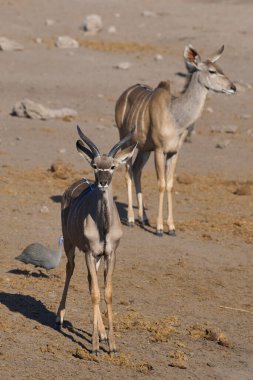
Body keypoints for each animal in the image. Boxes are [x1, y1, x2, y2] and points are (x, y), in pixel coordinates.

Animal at [56, 126, 136, 354]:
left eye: (112, 166)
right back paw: (60, 317)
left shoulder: (110, 254)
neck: (104, 227)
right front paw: (93, 346)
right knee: (70, 269)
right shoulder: (89, 252)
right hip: (70, 245)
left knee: (91, 281)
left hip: (96, 257)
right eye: (95, 166)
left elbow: (106, 292)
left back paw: (101, 334)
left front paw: (112, 344)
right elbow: (95, 293)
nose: (102, 182)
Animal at [115, 43, 236, 235]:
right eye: (212, 71)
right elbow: (161, 184)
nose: (233, 87)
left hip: (144, 149)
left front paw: (171, 227)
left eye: (221, 68)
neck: (175, 116)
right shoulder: (159, 150)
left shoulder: (173, 152)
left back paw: (143, 218)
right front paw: (159, 228)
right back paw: (132, 219)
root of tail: (122, 96)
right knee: (127, 171)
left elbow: (170, 184)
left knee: (136, 170)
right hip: (126, 140)